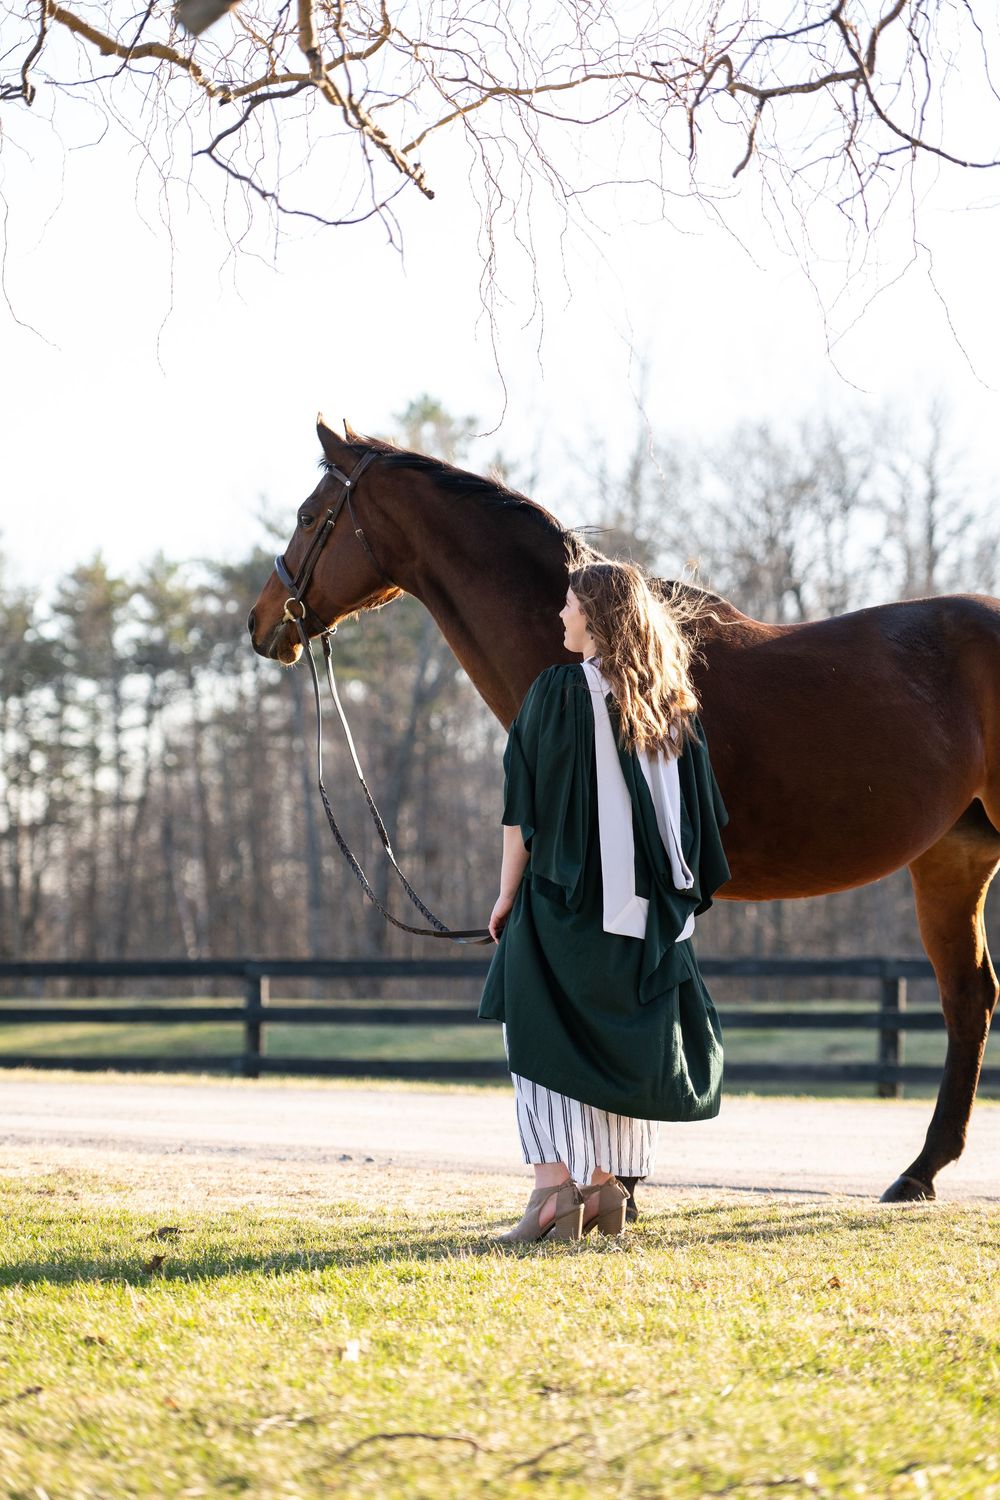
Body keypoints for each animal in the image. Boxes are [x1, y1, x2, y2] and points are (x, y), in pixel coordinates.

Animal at [248, 416, 1000, 1204]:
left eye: (309, 517)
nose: (260, 622)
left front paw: (623, 1185)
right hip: (952, 859)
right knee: (969, 998)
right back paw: (919, 1171)